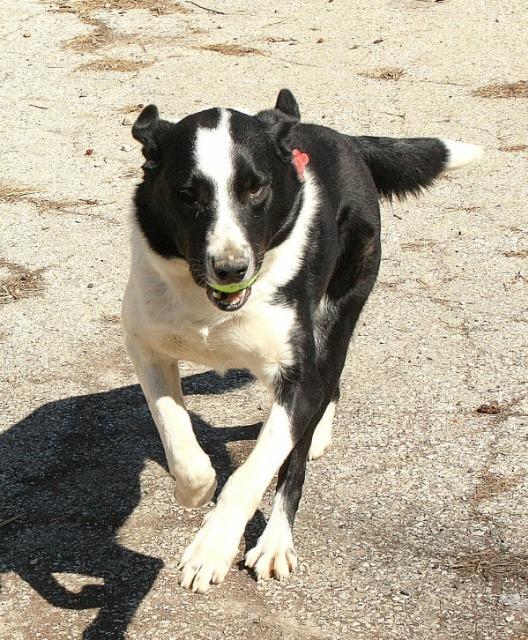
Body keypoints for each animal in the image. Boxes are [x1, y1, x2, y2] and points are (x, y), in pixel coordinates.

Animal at [120, 87, 482, 592]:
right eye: (187, 194)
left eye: (255, 188)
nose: (231, 269)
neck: (212, 310)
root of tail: (344, 139)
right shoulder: (146, 346)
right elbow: (179, 441)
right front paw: (197, 489)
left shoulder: (300, 380)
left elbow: (252, 473)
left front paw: (212, 547)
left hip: (338, 314)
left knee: (312, 421)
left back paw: (276, 538)